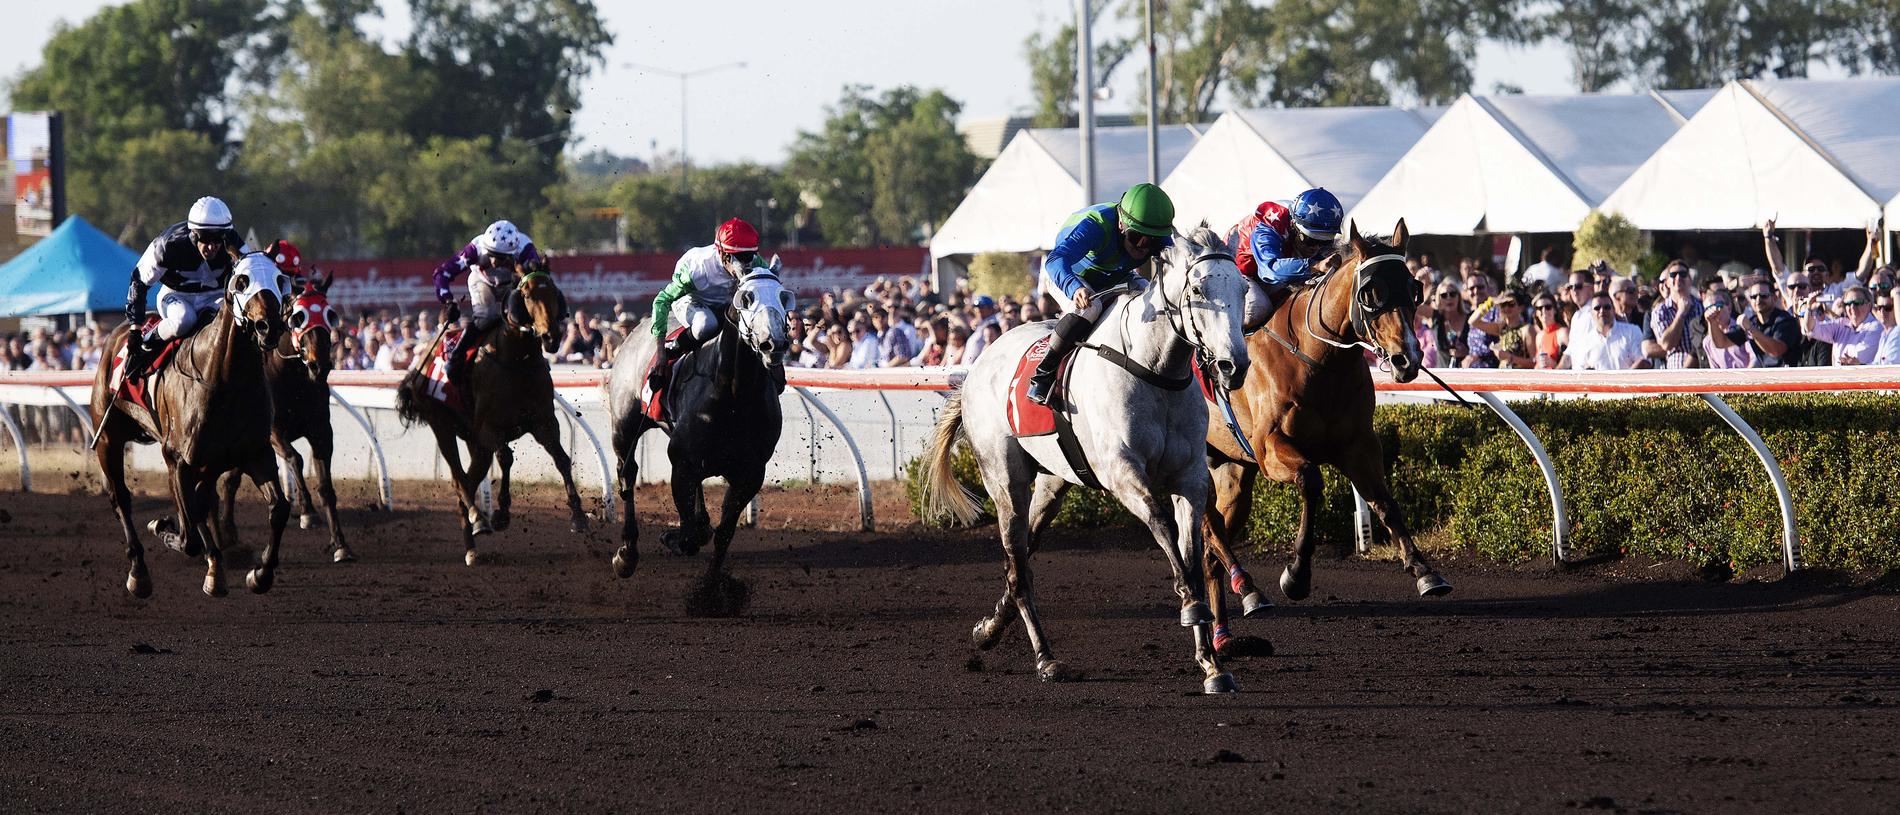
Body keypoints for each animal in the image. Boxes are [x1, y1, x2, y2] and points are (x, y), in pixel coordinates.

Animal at [90, 254, 292, 596]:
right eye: (242, 281)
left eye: (280, 279)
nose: (269, 326)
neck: (225, 380)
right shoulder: (179, 459)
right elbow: (189, 537)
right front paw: (162, 527)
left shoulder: (255, 452)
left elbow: (278, 509)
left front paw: (259, 574)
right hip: (108, 439)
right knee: (121, 498)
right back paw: (139, 572)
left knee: (202, 501)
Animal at [395, 256, 585, 562]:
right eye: (527, 295)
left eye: (555, 292)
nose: (551, 337)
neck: (516, 358)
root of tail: (419, 365)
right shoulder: (490, 430)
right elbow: (506, 458)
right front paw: (502, 514)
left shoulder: (544, 423)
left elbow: (562, 459)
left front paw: (578, 516)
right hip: (442, 426)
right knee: (459, 480)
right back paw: (478, 522)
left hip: (474, 442)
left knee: (468, 481)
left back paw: (473, 541)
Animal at [604, 264, 790, 611]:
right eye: (746, 298)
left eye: (785, 297)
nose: (774, 344)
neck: (734, 396)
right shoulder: (683, 463)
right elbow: (689, 534)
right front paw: (672, 538)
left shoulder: (750, 473)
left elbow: (723, 534)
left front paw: (711, 596)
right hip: (624, 426)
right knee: (627, 476)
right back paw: (627, 554)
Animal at [915, 224, 1254, 691]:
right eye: (1199, 289)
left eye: (1243, 287)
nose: (1233, 365)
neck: (1154, 370)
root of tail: (978, 364)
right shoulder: (1123, 474)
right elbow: (1164, 530)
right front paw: (1191, 608)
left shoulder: (1190, 479)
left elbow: (1190, 551)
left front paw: (1212, 665)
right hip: (1005, 481)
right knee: (1019, 568)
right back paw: (1045, 658)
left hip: (1053, 483)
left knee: (1020, 558)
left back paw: (989, 629)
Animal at [1200, 219, 1451, 649]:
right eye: (1371, 292)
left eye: (1413, 288)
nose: (1409, 358)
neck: (1316, 358)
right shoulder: (1271, 449)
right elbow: (1311, 480)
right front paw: (1296, 575)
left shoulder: (1359, 445)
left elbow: (1385, 503)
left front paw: (1423, 570)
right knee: (1209, 530)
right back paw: (1250, 593)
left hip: (1231, 473)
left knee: (1210, 546)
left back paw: (1224, 639)